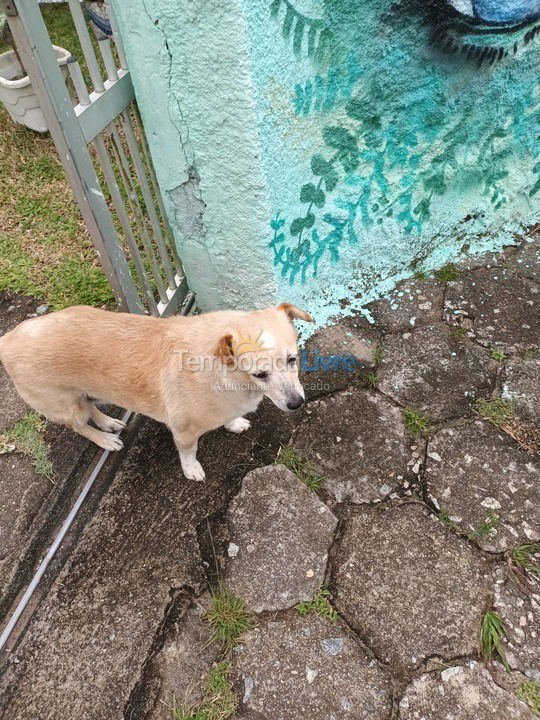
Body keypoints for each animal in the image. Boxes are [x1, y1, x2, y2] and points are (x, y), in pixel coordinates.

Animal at [0, 300, 312, 480]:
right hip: (66, 406)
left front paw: (233, 423)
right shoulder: (184, 432)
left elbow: (229, 417)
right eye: (260, 374)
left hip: (82, 391)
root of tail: (9, 338)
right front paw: (191, 470)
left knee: (90, 405)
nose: (297, 403)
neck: (231, 377)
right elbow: (189, 452)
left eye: (292, 359)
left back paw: (108, 423)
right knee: (79, 425)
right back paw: (104, 439)